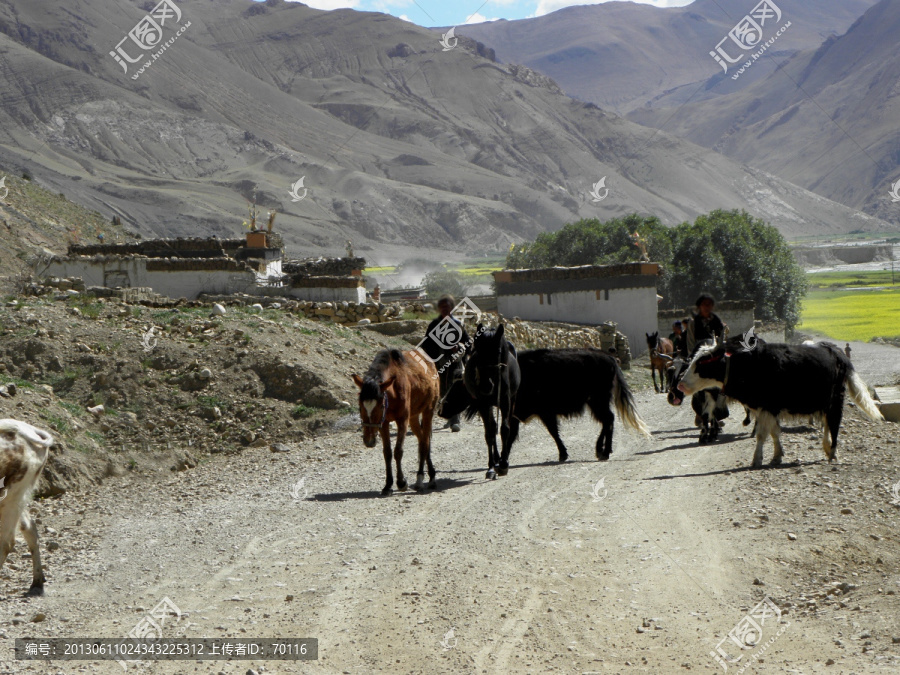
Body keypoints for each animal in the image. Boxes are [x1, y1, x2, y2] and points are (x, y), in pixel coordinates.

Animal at [352, 352, 440, 494]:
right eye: (360, 406)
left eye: (380, 406)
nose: (369, 440)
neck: (393, 391)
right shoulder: (384, 423)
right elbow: (387, 452)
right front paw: (388, 484)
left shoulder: (402, 420)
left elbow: (398, 451)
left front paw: (401, 482)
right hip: (413, 417)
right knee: (423, 440)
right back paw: (427, 475)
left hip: (428, 411)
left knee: (425, 443)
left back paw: (423, 478)